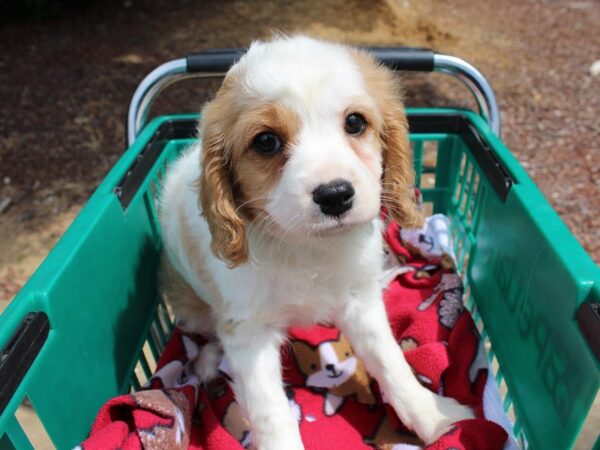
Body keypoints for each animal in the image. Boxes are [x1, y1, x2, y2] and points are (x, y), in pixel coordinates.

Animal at [161, 36, 474, 450]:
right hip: (191, 306)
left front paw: (435, 417)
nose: (335, 195)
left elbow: (390, 361)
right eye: (266, 141)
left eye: (355, 122)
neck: (306, 246)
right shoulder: (248, 333)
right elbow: (271, 412)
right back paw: (207, 363)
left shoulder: (360, 301)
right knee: (206, 332)